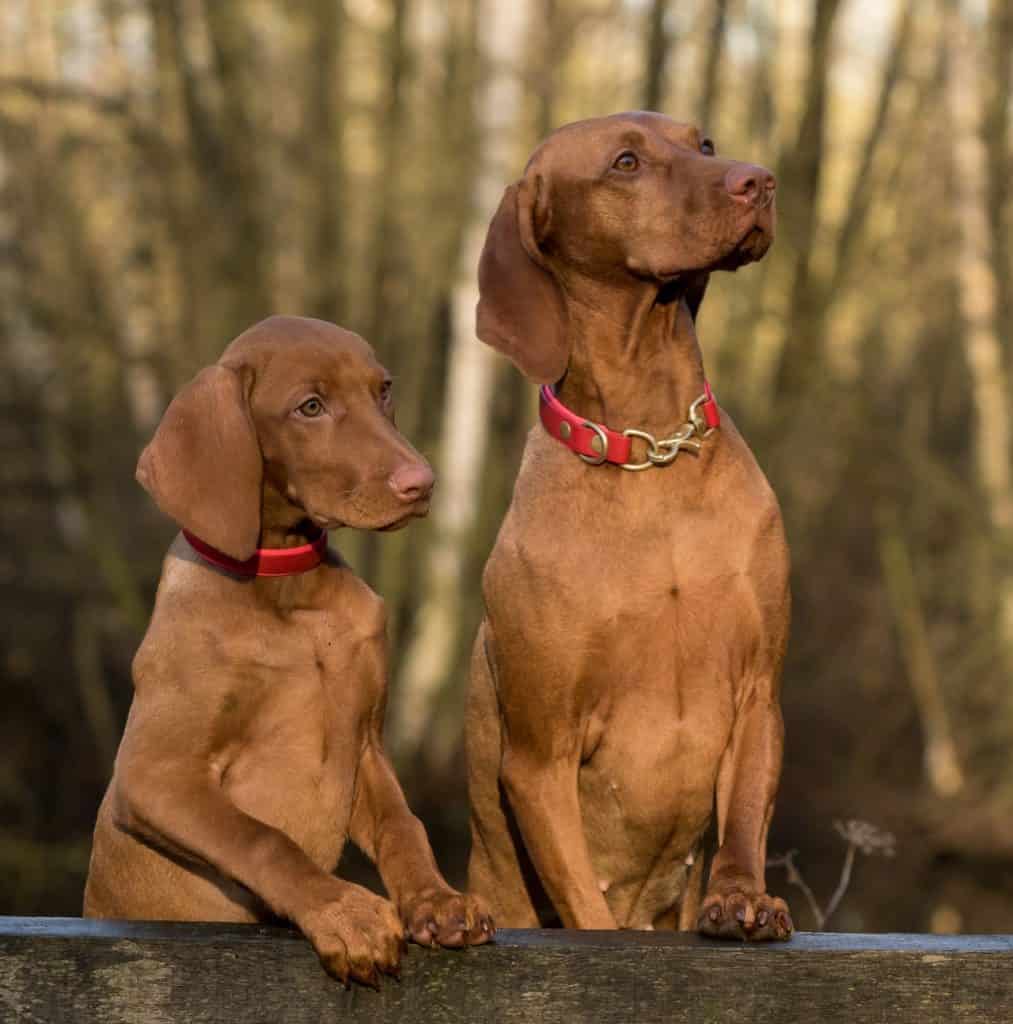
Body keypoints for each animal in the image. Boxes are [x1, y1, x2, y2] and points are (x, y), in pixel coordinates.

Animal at [86, 313, 493, 983]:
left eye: (384, 390)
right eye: (310, 407)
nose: (422, 483)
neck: (288, 592)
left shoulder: (366, 746)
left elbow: (403, 824)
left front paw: (437, 899)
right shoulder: (151, 775)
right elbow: (262, 838)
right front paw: (346, 913)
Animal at [465, 114, 790, 942]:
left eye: (701, 143)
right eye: (624, 163)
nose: (758, 180)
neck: (650, 451)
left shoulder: (756, 691)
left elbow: (744, 815)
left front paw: (742, 898)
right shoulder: (539, 754)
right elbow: (586, 907)